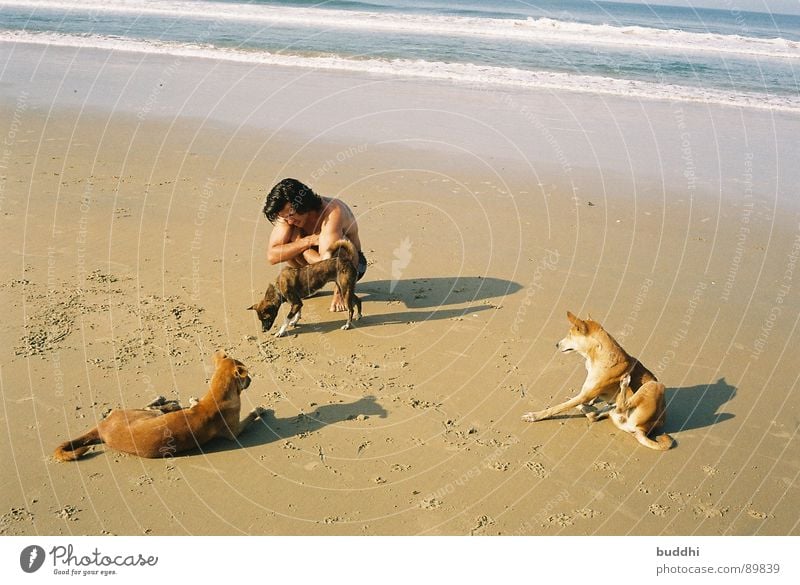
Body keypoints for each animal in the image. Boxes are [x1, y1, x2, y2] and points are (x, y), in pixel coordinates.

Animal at [53, 350, 268, 458]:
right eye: (247, 376)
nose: (251, 379)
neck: (217, 394)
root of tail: (102, 428)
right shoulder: (235, 431)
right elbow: (250, 416)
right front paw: (259, 409)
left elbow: (194, 403)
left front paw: (193, 400)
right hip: (144, 414)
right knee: (151, 407)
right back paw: (165, 402)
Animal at [520, 312, 672, 450]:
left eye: (570, 335)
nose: (556, 344)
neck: (596, 355)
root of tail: (644, 430)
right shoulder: (588, 390)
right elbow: (587, 400)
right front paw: (587, 403)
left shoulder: (586, 393)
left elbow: (557, 408)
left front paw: (534, 416)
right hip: (612, 410)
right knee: (595, 415)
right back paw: (583, 407)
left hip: (655, 385)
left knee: (622, 405)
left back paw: (624, 383)